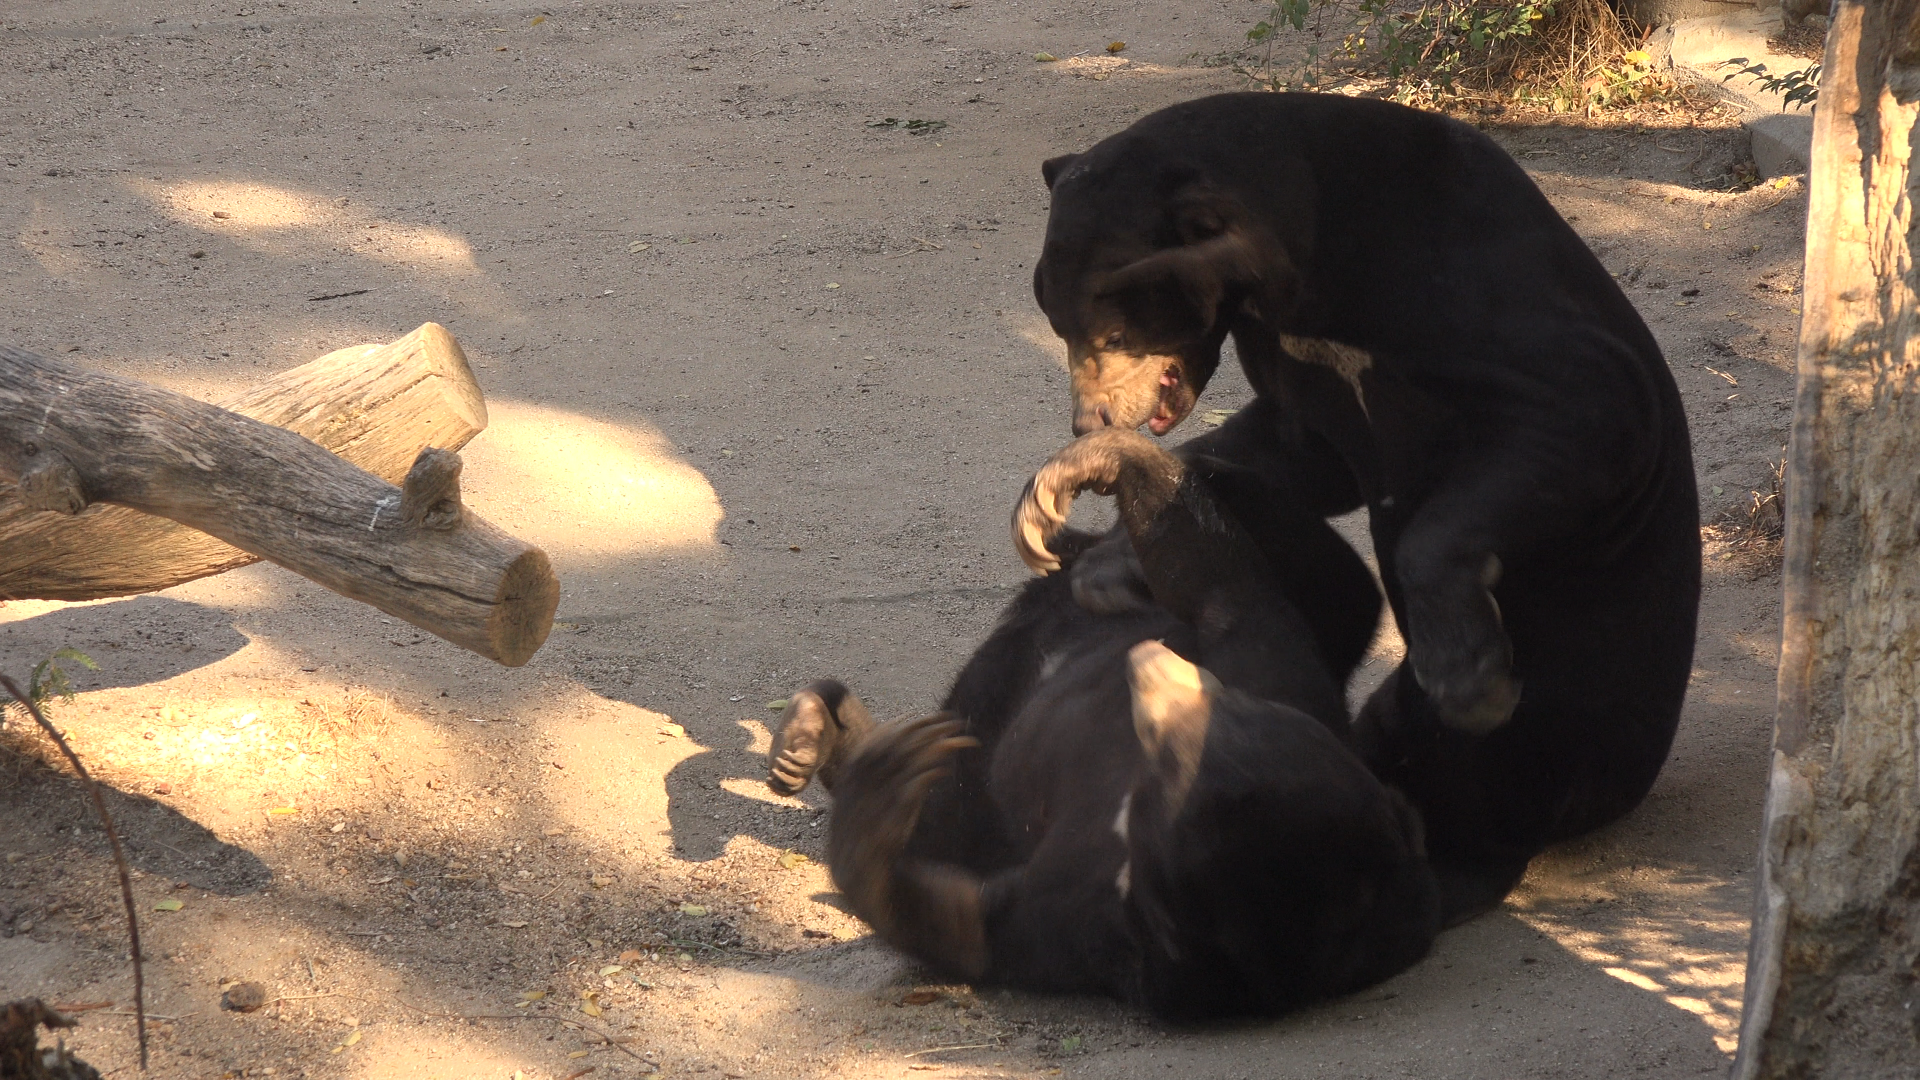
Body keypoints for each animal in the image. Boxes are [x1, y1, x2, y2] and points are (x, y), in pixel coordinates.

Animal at [770, 421, 1440, 1021]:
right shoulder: (1288, 683)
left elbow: (968, 924)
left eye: (1174, 737)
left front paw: (884, 793)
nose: (1146, 664)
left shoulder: (1094, 924)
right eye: (1226, 707)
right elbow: (1223, 587)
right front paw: (1095, 465)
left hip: (983, 753)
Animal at [1016, 92, 1701, 921]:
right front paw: (1098, 535)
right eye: (1059, 325)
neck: (1305, 277)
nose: (1087, 422)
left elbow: (1590, 417)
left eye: (1116, 328)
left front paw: (1470, 674)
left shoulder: (1482, 306)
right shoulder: (1297, 368)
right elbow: (1301, 449)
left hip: (1567, 738)